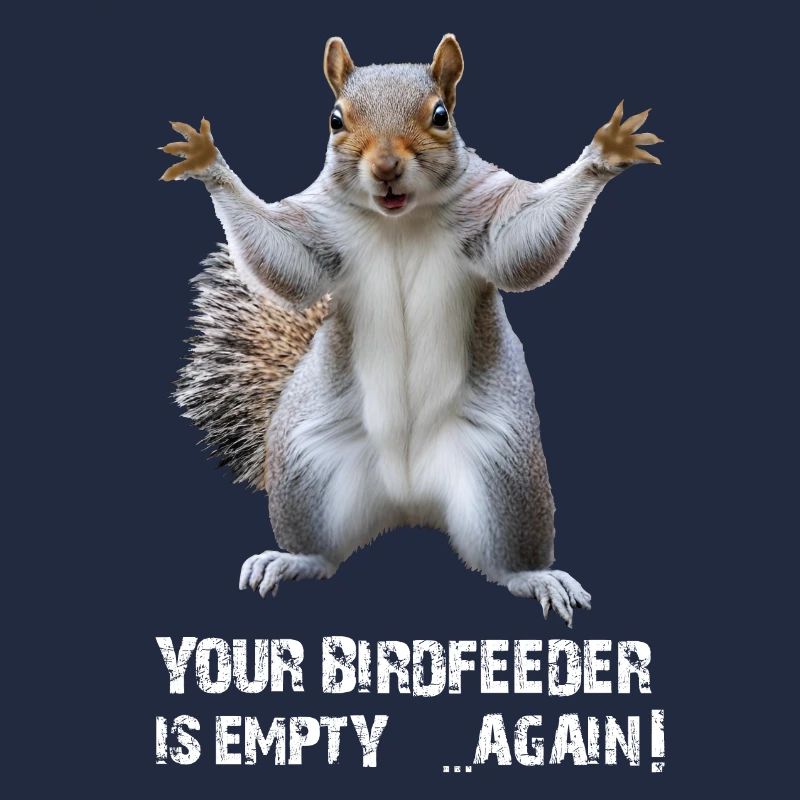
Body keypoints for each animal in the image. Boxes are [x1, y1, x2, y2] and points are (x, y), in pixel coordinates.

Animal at [163, 34, 661, 626]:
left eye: (441, 115)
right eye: (335, 119)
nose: (385, 167)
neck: (398, 219)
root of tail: (407, 500)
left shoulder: (489, 213)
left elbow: (521, 247)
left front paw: (607, 153)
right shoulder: (320, 229)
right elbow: (290, 263)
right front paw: (206, 163)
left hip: (505, 474)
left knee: (504, 557)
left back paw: (534, 576)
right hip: (307, 466)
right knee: (321, 549)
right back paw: (291, 560)